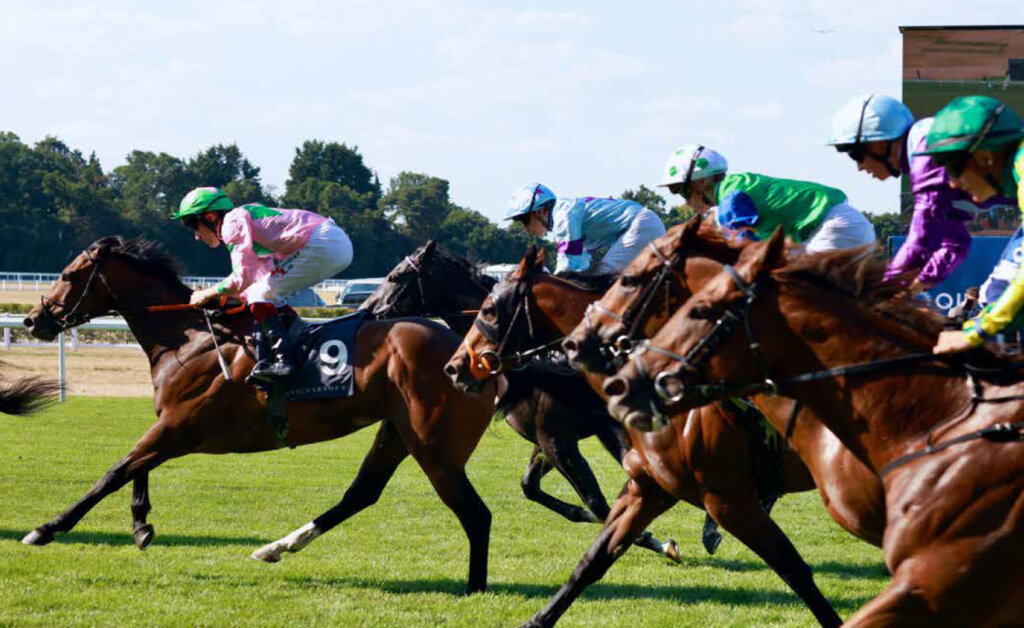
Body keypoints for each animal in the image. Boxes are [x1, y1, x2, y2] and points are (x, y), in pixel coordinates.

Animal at [21, 236, 495, 594]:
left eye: (69, 275)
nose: (32, 320)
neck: (191, 339)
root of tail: (467, 351)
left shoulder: (179, 428)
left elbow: (114, 473)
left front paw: (46, 528)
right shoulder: (171, 427)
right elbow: (135, 468)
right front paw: (141, 526)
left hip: (435, 447)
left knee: (476, 514)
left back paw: (474, 588)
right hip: (399, 431)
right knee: (362, 493)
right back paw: (277, 547)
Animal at [359, 240, 676, 559]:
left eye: (396, 277)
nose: (366, 311)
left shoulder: (563, 438)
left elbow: (600, 499)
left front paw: (653, 539)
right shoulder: (554, 437)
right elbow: (532, 487)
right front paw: (649, 537)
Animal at [444, 241, 843, 628]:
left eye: (490, 309)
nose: (455, 366)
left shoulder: (727, 499)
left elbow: (794, 569)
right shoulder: (646, 486)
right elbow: (592, 559)